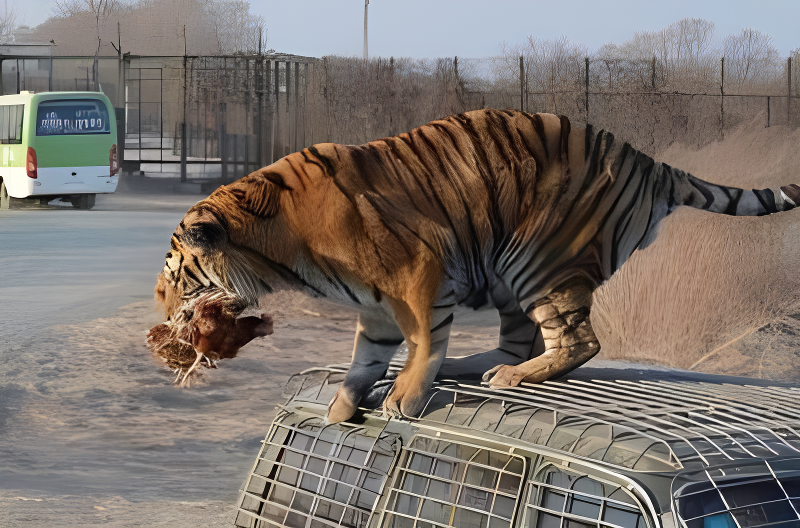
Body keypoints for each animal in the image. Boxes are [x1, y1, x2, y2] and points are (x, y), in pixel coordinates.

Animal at [145, 108, 800, 424]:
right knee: (520, 338)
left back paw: (510, 377)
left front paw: (404, 399)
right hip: (512, 275)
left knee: (578, 341)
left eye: (176, 277)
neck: (276, 242)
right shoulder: (374, 306)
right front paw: (344, 402)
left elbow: (422, 343)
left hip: (536, 259)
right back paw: (479, 367)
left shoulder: (418, 273)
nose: (161, 312)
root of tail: (647, 160)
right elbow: (366, 357)